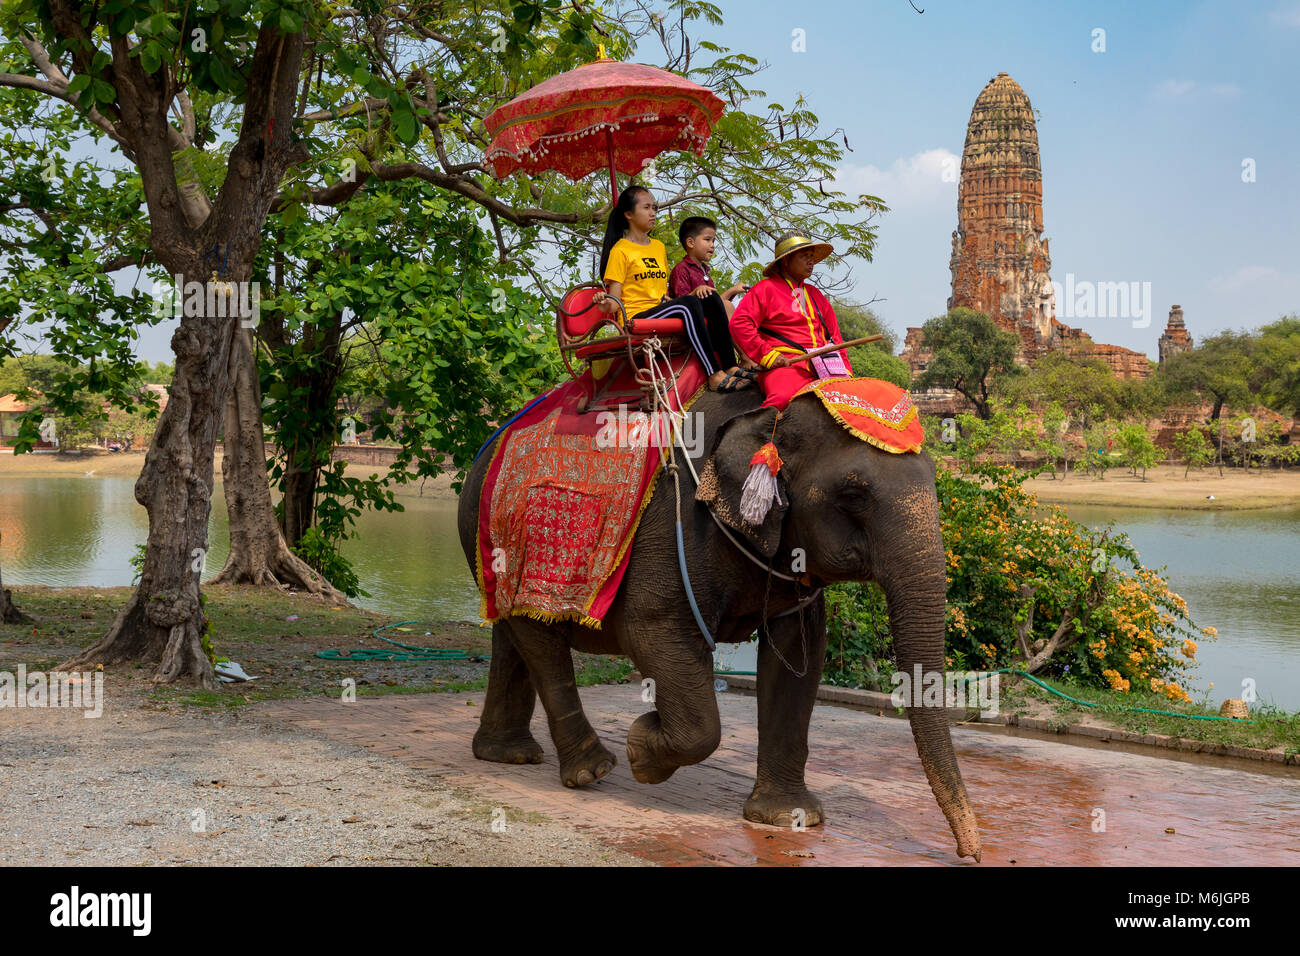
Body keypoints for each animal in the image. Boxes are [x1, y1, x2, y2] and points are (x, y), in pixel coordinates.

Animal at [454, 385, 977, 863]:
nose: (968, 851)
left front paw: (788, 817)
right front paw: (641, 751)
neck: (770, 411)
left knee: (514, 632)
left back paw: (509, 755)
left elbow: (801, 654)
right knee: (537, 640)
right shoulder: (676, 525)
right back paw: (591, 770)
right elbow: (652, 628)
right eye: (854, 493)